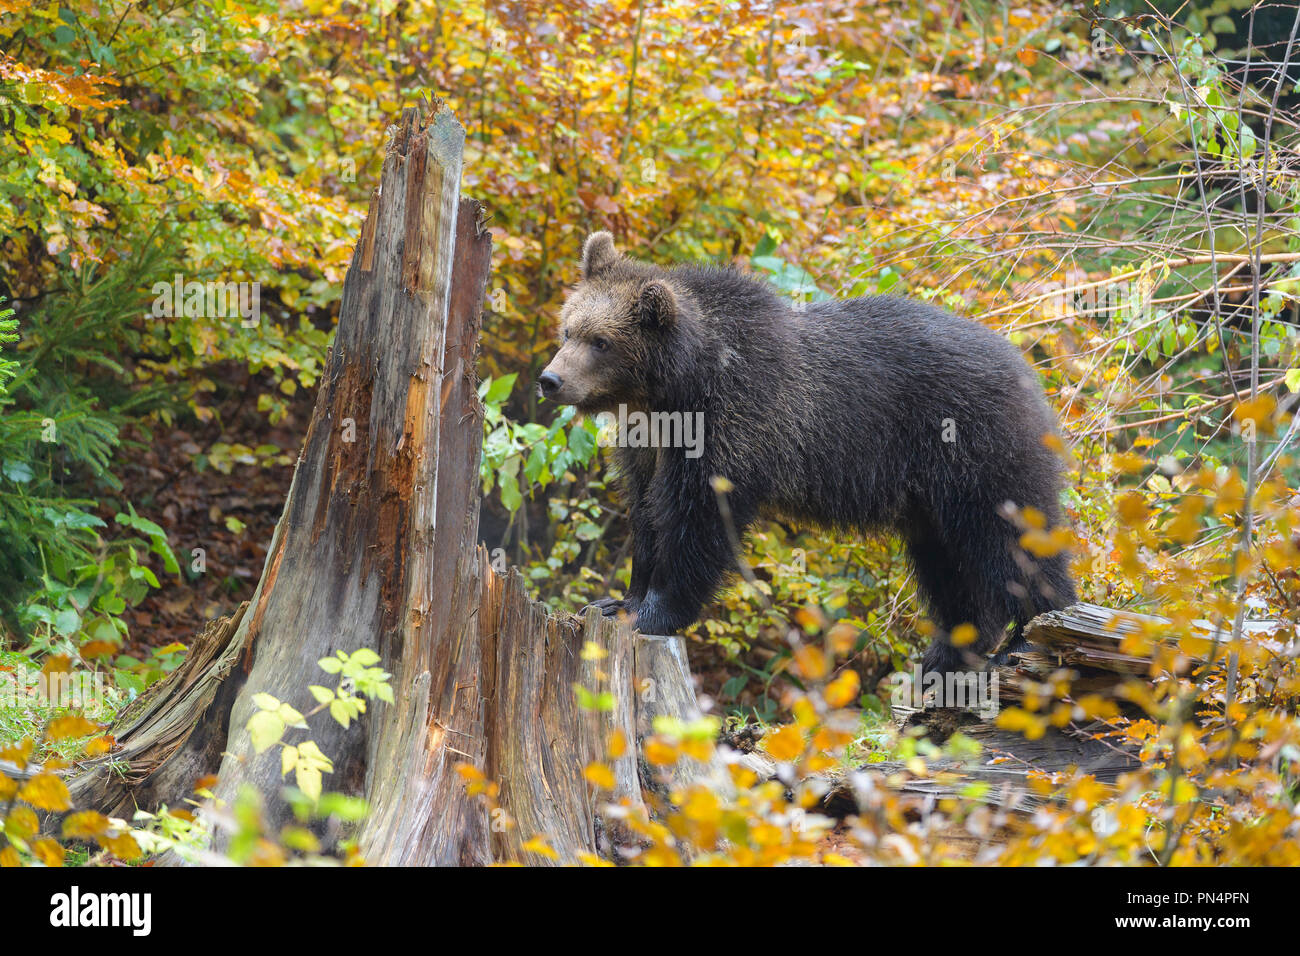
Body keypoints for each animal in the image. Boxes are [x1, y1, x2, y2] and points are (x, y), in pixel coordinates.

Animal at [537, 231, 1075, 675]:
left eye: (600, 341)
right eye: (567, 329)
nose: (550, 379)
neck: (672, 391)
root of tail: (1026, 368)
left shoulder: (736, 418)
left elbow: (700, 518)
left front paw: (655, 611)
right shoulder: (647, 444)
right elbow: (646, 512)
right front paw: (617, 601)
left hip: (976, 445)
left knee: (1015, 533)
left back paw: (1029, 637)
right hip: (931, 494)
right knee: (945, 561)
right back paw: (951, 648)